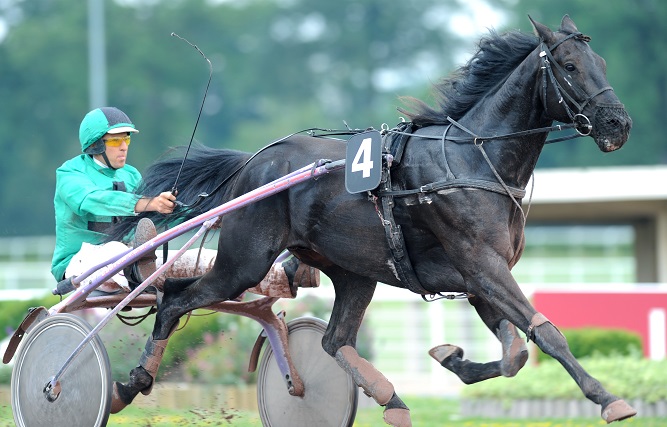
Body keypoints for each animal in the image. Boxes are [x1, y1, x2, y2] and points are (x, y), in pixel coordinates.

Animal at [111, 15, 636, 426]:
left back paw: (391, 399)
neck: (473, 160)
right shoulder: (482, 266)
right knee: (175, 301)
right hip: (245, 261)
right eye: (570, 66)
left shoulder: (477, 276)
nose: (618, 123)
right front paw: (609, 399)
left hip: (352, 270)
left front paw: (453, 357)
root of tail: (253, 162)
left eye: (603, 64)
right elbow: (544, 333)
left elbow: (516, 352)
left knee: (332, 339)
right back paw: (131, 383)